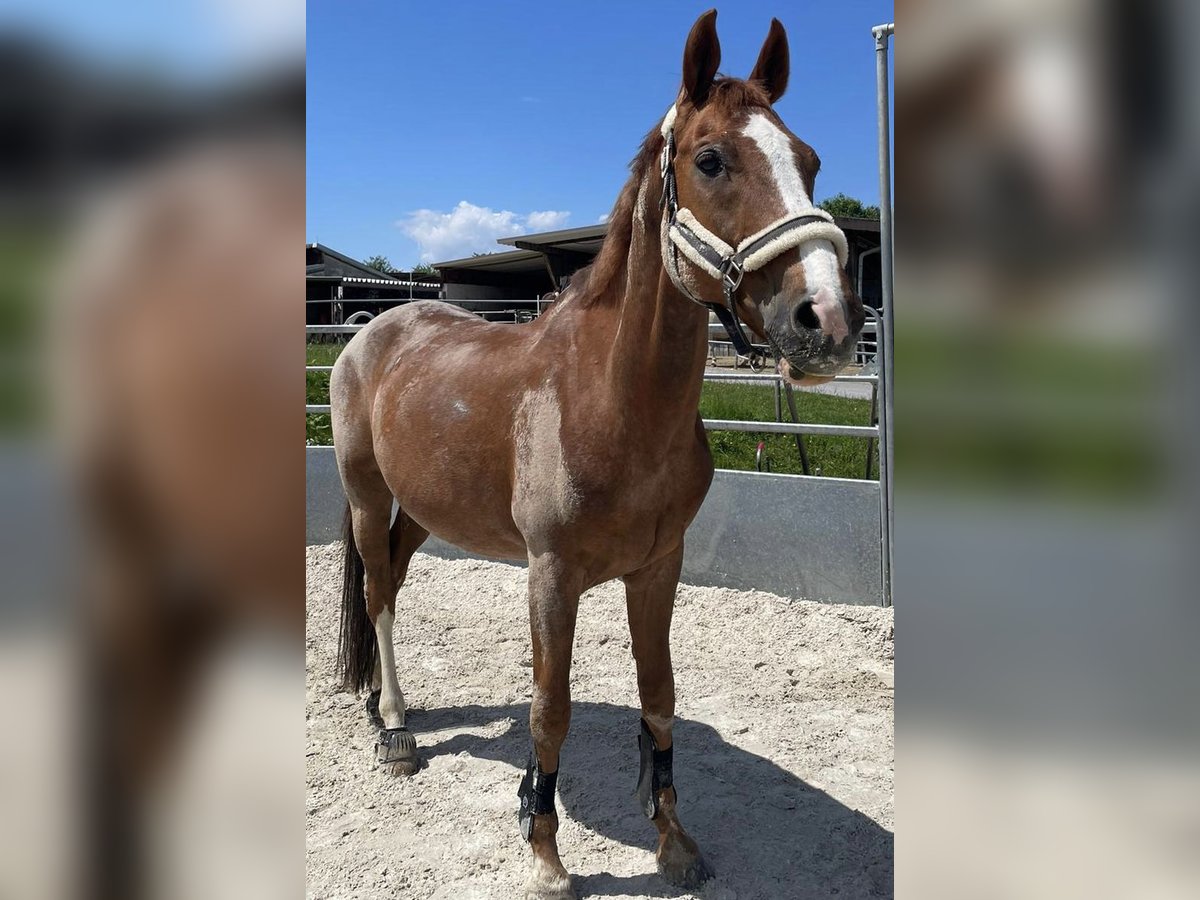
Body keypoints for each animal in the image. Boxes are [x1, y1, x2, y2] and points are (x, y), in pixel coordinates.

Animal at [333, 10, 864, 897]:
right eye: (710, 159)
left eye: (812, 162)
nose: (825, 318)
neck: (611, 399)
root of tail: (372, 329)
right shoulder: (552, 577)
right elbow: (551, 709)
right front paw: (546, 853)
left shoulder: (657, 569)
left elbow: (659, 696)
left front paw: (673, 843)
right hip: (369, 497)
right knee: (377, 592)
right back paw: (397, 729)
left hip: (426, 510)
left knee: (396, 584)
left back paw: (382, 705)